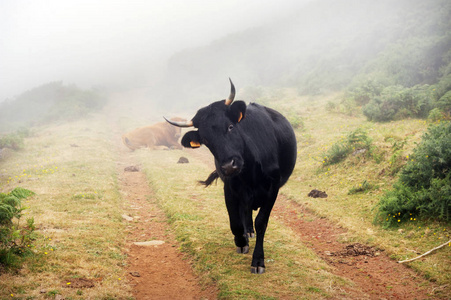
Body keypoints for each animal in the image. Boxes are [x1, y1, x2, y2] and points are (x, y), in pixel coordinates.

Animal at [165, 78, 296, 274]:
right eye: (206, 140)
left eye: (230, 126)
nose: (228, 165)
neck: (250, 171)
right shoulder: (230, 187)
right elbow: (234, 220)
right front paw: (241, 241)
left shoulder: (273, 188)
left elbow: (261, 221)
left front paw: (258, 260)